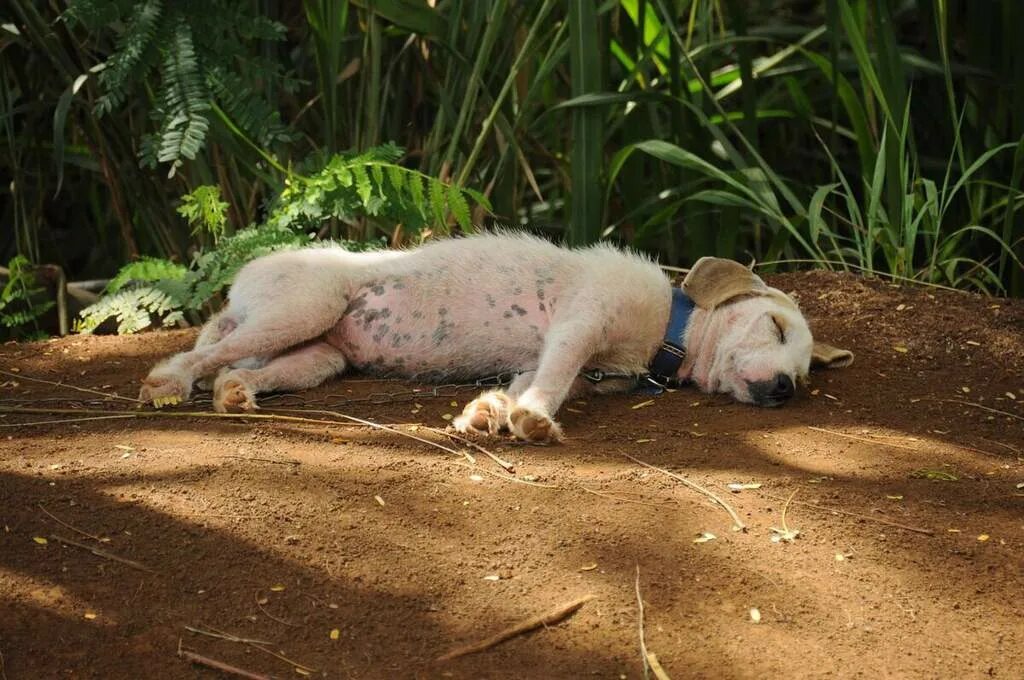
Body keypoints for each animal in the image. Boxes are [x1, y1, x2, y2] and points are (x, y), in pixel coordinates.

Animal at [140, 233, 851, 444]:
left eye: (804, 374)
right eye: (775, 325)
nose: (785, 389)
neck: (668, 332)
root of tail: (244, 280)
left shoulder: (571, 361)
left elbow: (528, 380)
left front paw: (493, 412)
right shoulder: (580, 323)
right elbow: (555, 377)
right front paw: (534, 418)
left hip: (317, 357)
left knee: (240, 369)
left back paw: (234, 396)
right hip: (304, 307)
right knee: (202, 352)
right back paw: (169, 382)